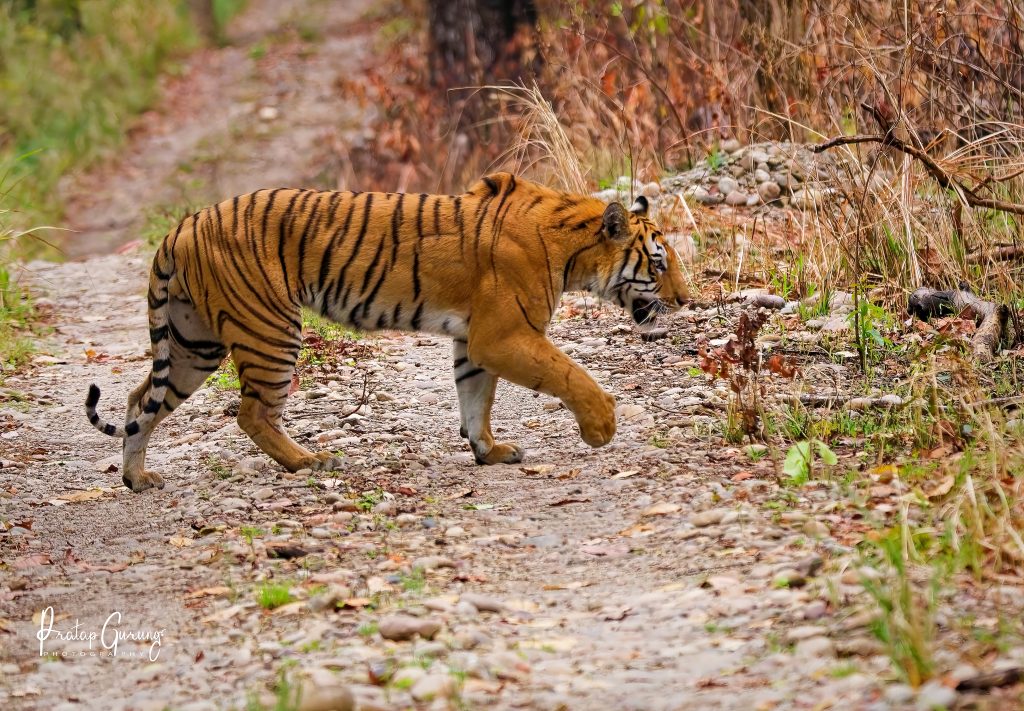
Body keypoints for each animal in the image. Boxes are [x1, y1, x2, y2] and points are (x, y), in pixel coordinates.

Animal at [85, 172, 688, 492]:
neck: (573, 249)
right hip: (270, 329)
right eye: (658, 264)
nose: (687, 300)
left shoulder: (475, 341)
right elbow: (569, 373)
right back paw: (310, 462)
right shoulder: (504, 334)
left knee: (140, 401)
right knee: (251, 412)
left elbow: (476, 399)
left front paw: (488, 451)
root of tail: (181, 226)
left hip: (194, 342)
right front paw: (601, 428)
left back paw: (138, 479)